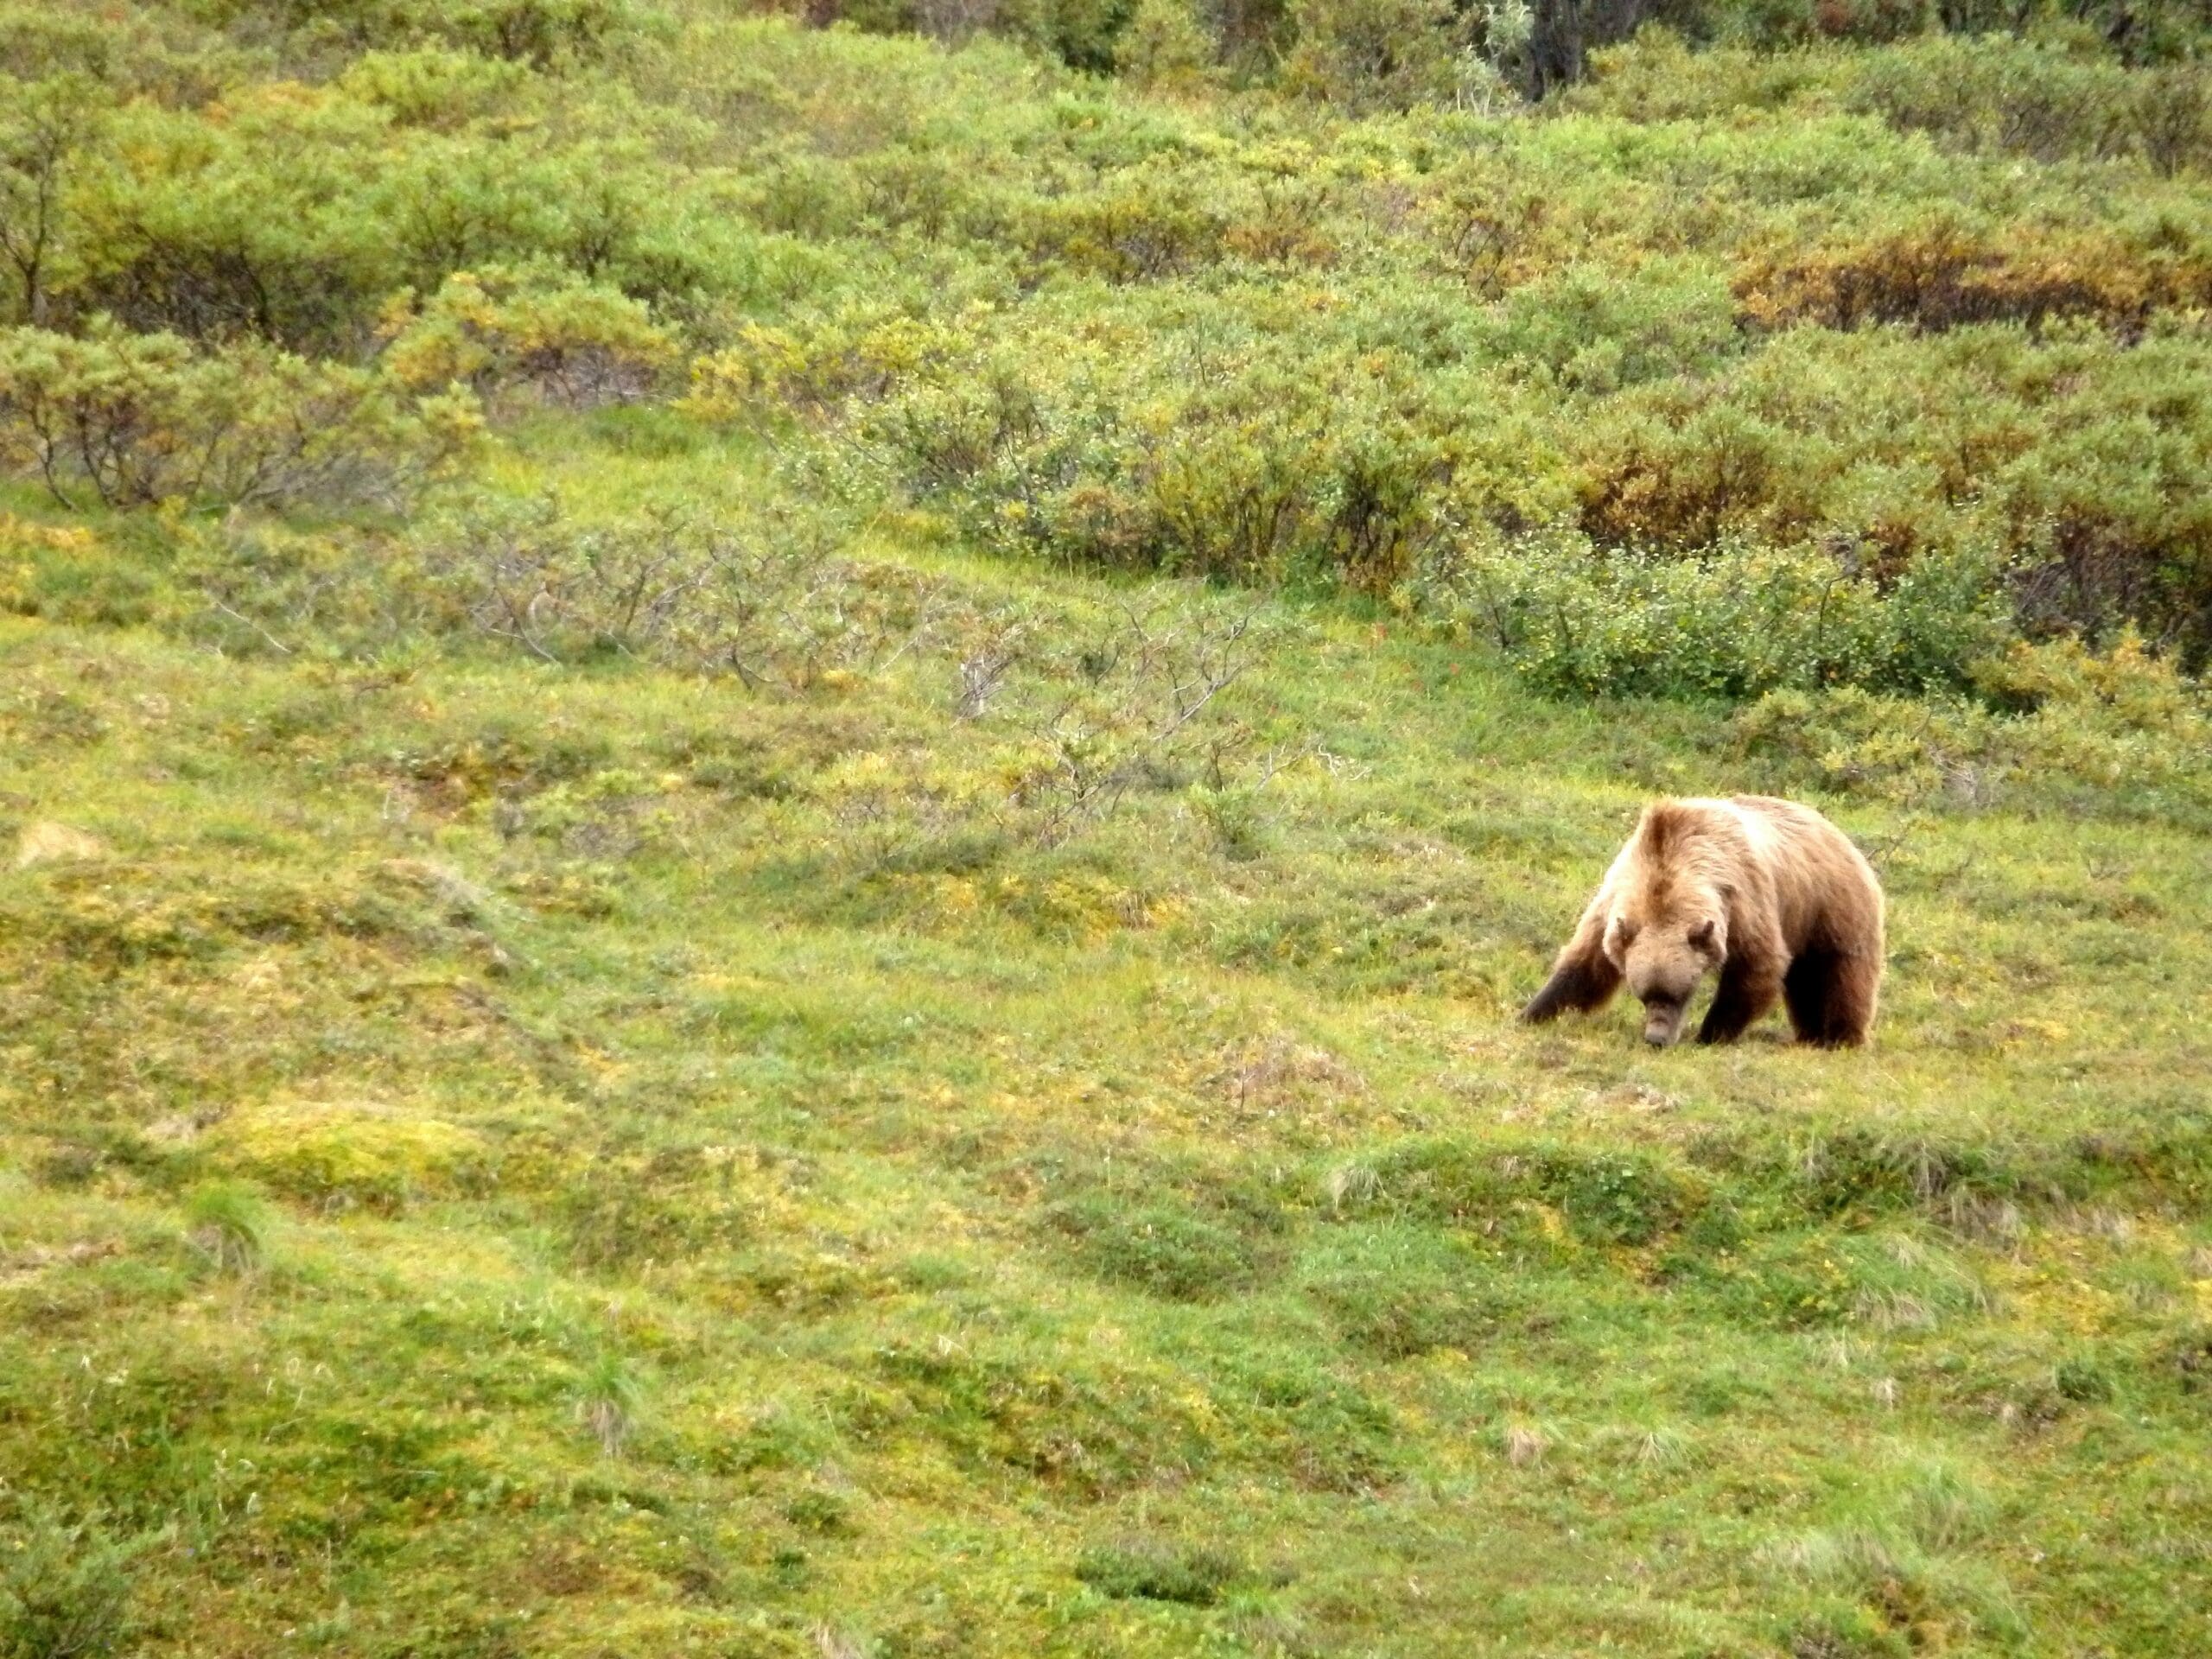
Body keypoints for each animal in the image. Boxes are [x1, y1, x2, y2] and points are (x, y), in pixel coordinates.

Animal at [1522, 796, 1885, 1052]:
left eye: (1679, 993)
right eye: (1644, 995)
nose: (1655, 1038)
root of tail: (1833, 829)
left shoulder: (1742, 903)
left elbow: (1756, 966)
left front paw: (1711, 1033)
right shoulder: (1615, 900)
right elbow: (1586, 963)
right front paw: (1535, 1011)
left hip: (1831, 907)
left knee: (1842, 973)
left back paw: (1840, 1037)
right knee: (1805, 980)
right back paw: (1809, 1034)